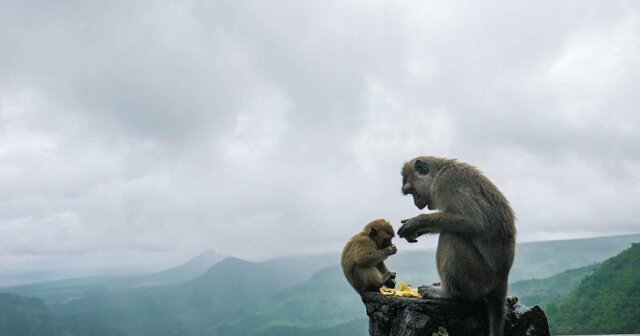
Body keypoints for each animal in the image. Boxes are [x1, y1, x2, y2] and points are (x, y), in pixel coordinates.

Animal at [400, 156, 516, 336]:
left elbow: (473, 221)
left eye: (412, 191)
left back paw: (447, 293)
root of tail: (503, 278)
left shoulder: (447, 184)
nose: (416, 204)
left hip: (479, 279)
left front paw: (418, 221)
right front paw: (416, 230)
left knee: (451, 236)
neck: (438, 173)